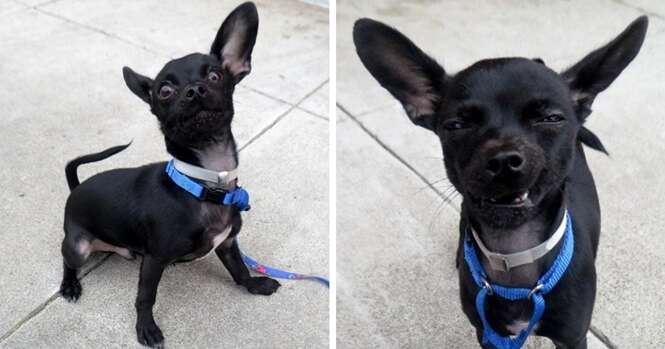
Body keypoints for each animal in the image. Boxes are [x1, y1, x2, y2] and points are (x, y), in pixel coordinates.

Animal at [57, 2, 280, 346]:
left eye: (215, 75)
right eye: (164, 90)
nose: (195, 90)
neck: (205, 182)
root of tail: (75, 188)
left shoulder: (228, 244)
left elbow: (239, 270)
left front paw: (255, 284)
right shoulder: (155, 259)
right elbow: (145, 297)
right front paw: (146, 328)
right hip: (78, 246)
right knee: (67, 260)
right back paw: (69, 285)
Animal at [356, 14, 644, 346]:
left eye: (551, 118)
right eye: (456, 125)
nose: (504, 159)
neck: (515, 254)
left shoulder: (572, 338)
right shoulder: (488, 335)